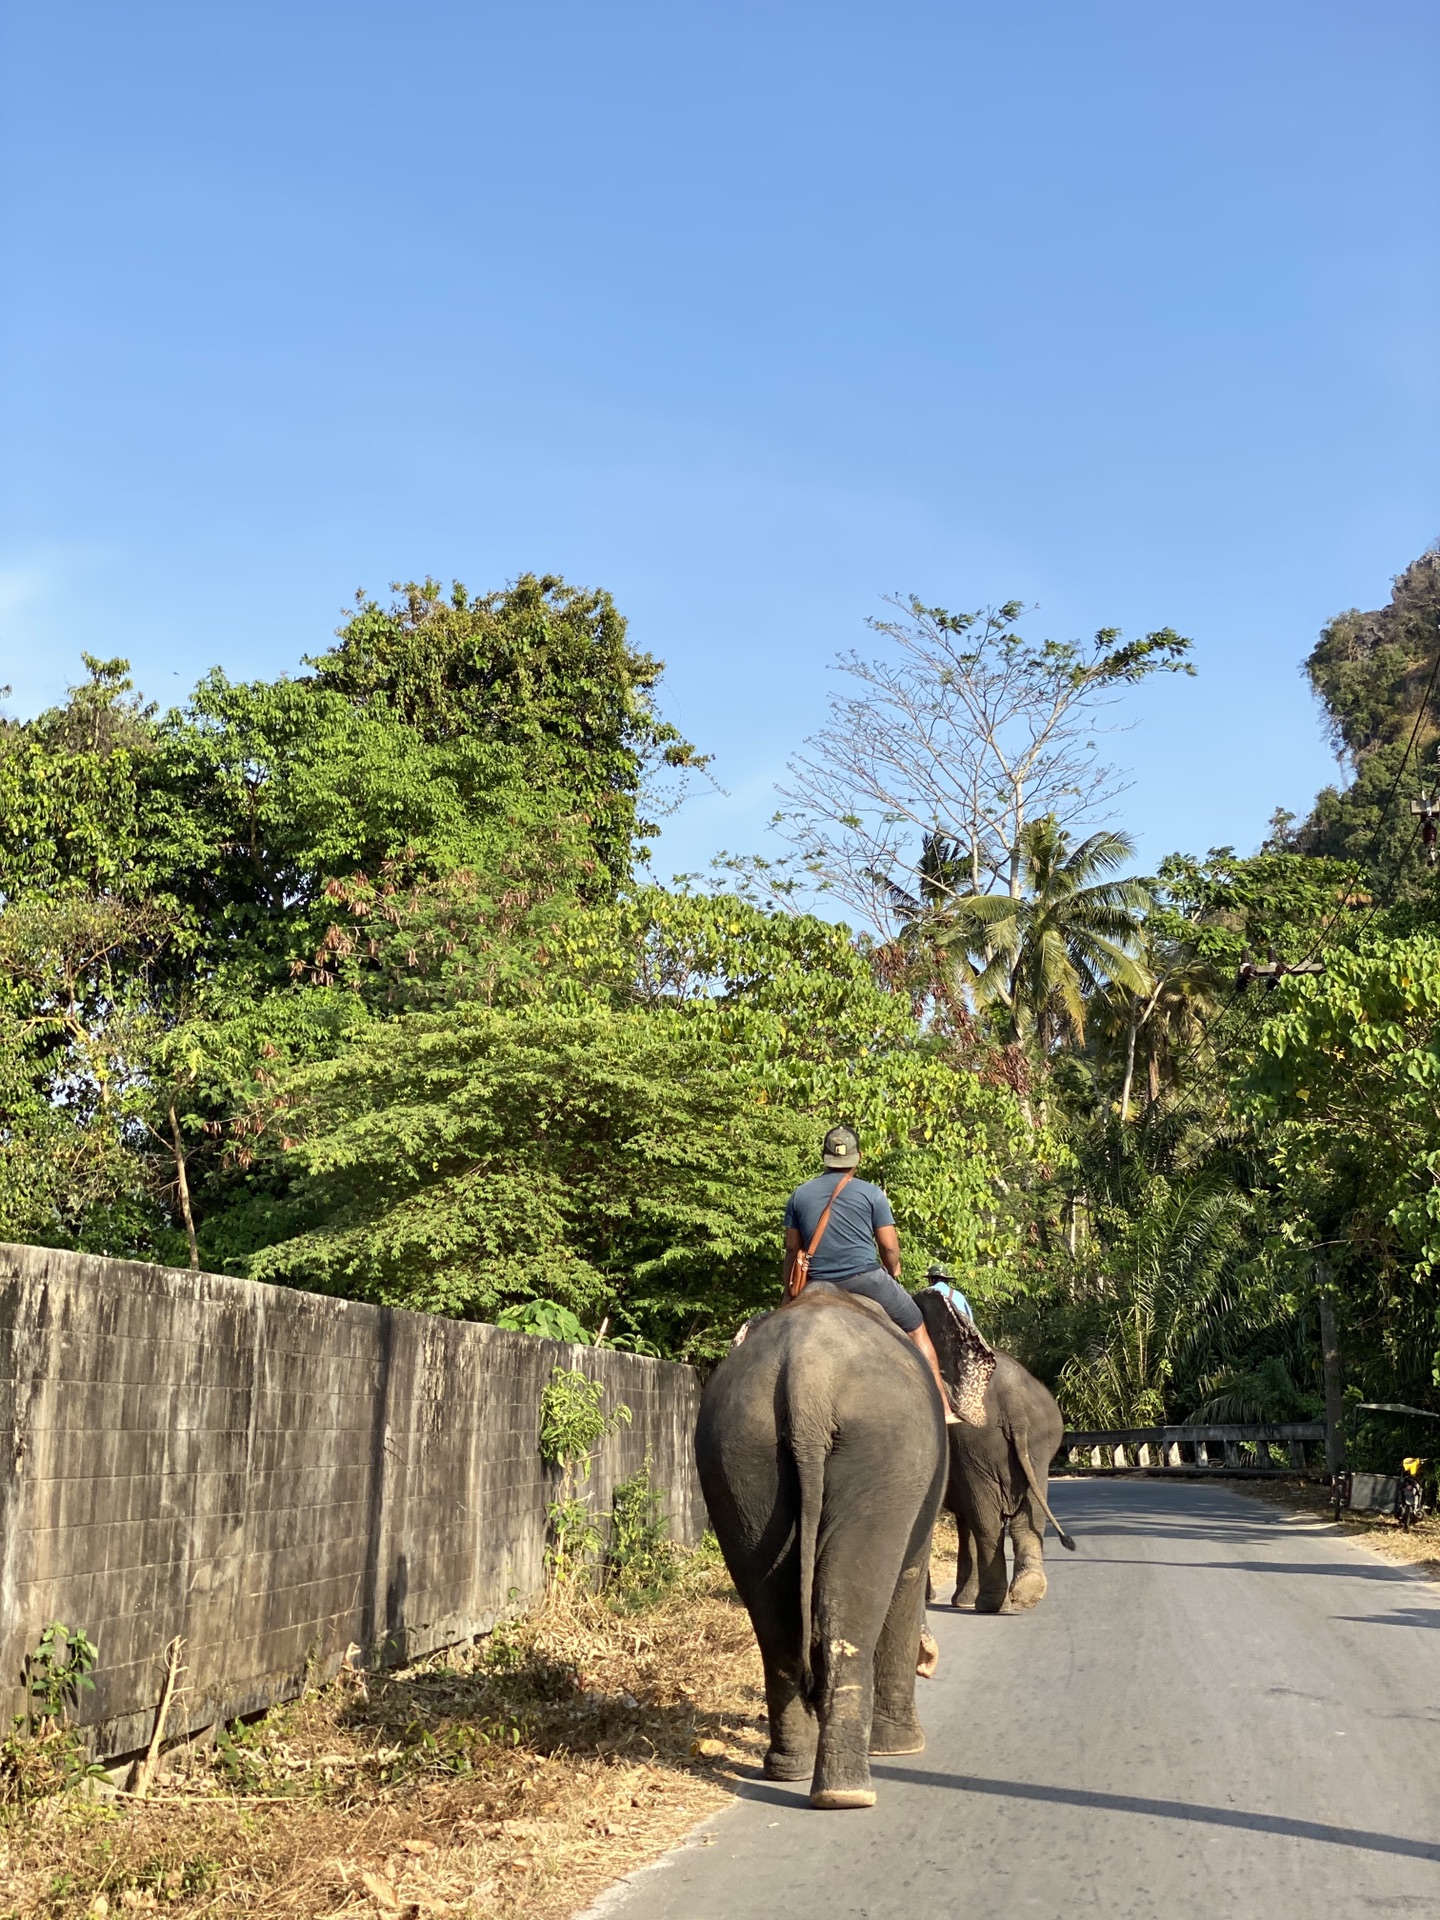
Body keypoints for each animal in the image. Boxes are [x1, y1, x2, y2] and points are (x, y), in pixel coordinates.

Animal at [695, 1282, 948, 1804]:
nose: (931, 1663)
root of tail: (806, 1377)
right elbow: (910, 1577)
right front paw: (903, 1749)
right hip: (885, 1453)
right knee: (849, 1606)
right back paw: (846, 1793)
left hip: (737, 1453)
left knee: (773, 1615)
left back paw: (790, 1771)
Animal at [917, 1282, 1075, 1612]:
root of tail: (1013, 1401)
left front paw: (953, 1600)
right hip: (1035, 1447)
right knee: (1026, 1518)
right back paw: (1025, 1592)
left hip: (977, 1446)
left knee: (986, 1522)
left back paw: (988, 1604)